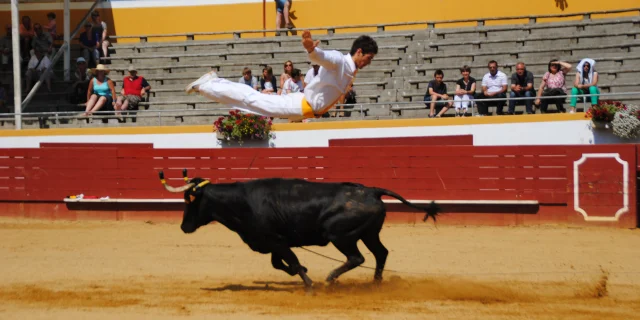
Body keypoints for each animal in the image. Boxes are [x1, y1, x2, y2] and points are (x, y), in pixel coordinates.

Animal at [159, 170, 440, 290]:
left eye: (189, 201)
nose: (184, 226)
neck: (241, 201)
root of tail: (371, 190)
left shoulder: (277, 241)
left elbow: (290, 261)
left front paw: (309, 282)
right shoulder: (274, 243)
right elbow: (280, 264)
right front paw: (302, 271)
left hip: (339, 235)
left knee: (356, 257)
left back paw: (330, 278)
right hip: (369, 233)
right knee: (381, 253)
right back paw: (376, 282)